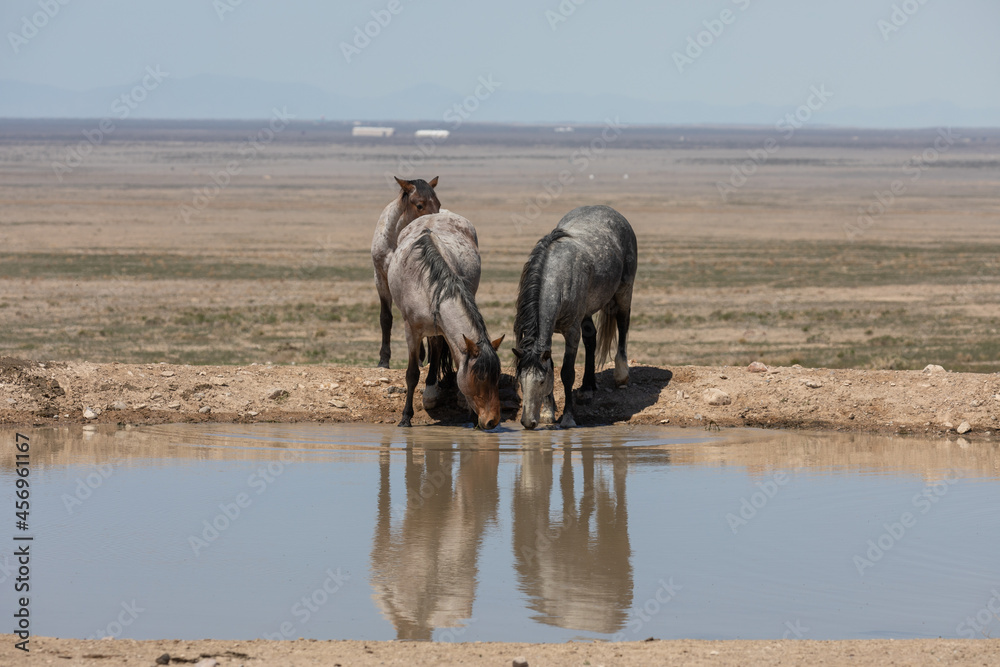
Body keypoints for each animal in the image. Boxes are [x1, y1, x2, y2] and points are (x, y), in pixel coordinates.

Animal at [372, 176, 441, 368]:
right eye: (419, 205)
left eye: (438, 204)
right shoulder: (380, 279)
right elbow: (385, 318)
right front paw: (383, 360)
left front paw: (421, 358)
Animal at [387, 211, 504, 429]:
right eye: (480, 377)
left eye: (497, 376)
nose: (492, 421)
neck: (428, 286)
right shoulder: (412, 331)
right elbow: (412, 373)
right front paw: (406, 417)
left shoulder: (449, 333)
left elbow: (457, 364)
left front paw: (470, 414)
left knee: (437, 347)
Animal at [513, 205, 637, 429]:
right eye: (520, 381)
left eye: (540, 382)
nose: (527, 422)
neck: (555, 280)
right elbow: (552, 366)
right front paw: (547, 412)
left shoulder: (571, 332)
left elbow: (567, 373)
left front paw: (568, 418)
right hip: (586, 312)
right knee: (591, 339)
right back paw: (587, 387)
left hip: (624, 291)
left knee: (623, 326)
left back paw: (621, 375)